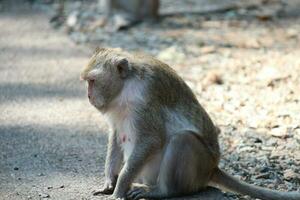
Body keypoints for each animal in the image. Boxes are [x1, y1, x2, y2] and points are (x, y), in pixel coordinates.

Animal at [80, 47, 300, 199]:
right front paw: (109, 183)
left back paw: (162, 191)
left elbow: (152, 139)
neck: (125, 86)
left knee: (182, 140)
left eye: (92, 81)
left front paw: (120, 187)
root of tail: (213, 168)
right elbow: (117, 135)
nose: (88, 95)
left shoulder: (144, 98)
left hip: (201, 165)